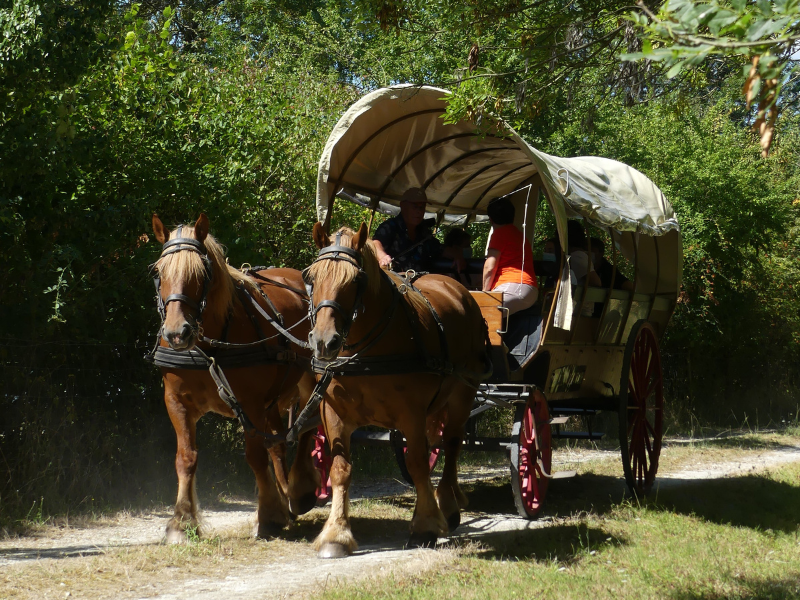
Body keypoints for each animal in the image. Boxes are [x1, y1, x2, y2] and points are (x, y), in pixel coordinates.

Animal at [152, 216, 320, 544]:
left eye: (202, 273)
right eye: (159, 272)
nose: (177, 333)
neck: (209, 347)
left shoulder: (250, 404)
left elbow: (254, 456)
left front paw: (268, 516)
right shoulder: (176, 402)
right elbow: (186, 457)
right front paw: (182, 521)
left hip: (309, 379)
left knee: (306, 426)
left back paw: (300, 492)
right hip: (272, 402)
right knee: (278, 445)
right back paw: (287, 499)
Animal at [306, 224, 490, 556]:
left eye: (356, 280)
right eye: (311, 277)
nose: (324, 341)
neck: (365, 352)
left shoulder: (411, 414)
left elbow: (417, 464)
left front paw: (425, 526)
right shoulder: (333, 413)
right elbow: (340, 469)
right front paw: (336, 534)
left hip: (462, 393)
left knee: (452, 444)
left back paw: (448, 505)